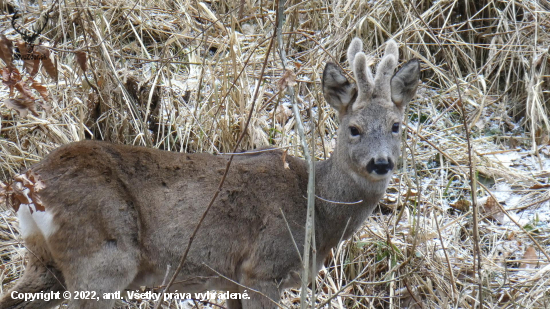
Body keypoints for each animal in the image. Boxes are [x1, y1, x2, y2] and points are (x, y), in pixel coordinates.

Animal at [0, 36, 420, 308]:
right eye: (354, 129)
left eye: (397, 125)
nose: (380, 163)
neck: (317, 211)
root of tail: (28, 184)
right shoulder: (263, 267)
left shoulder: (231, 277)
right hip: (102, 258)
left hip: (46, 262)